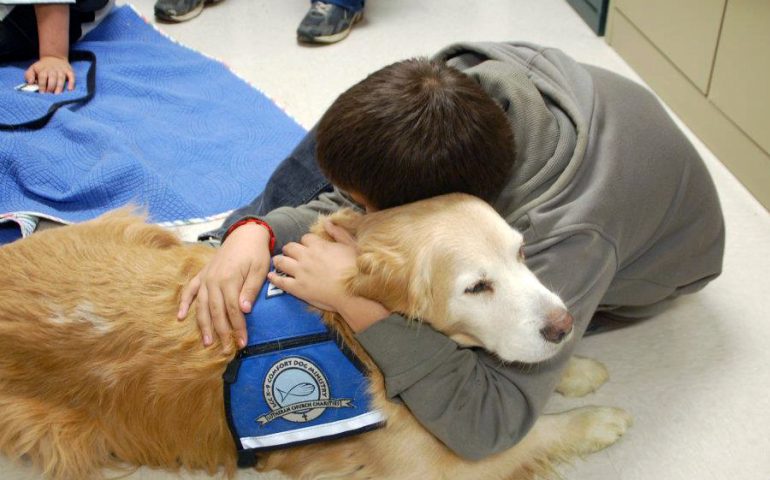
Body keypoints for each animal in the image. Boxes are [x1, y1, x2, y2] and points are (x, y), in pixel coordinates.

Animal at [0, 194, 628, 480]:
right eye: (477, 286)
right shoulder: (429, 470)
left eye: (521, 253)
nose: (564, 325)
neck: (357, 330)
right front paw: (599, 419)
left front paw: (578, 370)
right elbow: (532, 435)